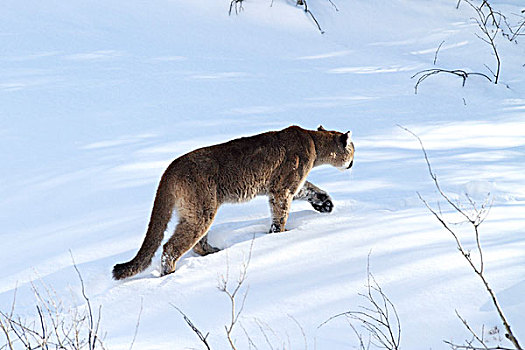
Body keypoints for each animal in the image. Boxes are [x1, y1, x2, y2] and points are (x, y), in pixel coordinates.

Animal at [112, 124, 354, 280]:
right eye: (353, 148)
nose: (353, 161)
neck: (313, 142)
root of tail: (170, 168)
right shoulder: (282, 188)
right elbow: (281, 213)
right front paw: (279, 235)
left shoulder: (289, 186)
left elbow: (310, 189)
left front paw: (325, 203)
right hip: (202, 210)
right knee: (170, 247)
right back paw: (169, 276)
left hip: (198, 210)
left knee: (197, 243)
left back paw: (214, 252)